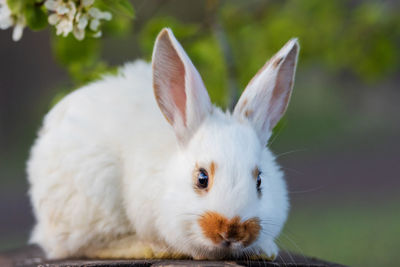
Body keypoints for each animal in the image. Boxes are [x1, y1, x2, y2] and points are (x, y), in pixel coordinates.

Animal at [26, 28, 298, 260]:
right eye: (202, 178)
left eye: (260, 180)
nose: (232, 230)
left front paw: (265, 250)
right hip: (90, 202)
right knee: (82, 246)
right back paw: (147, 247)